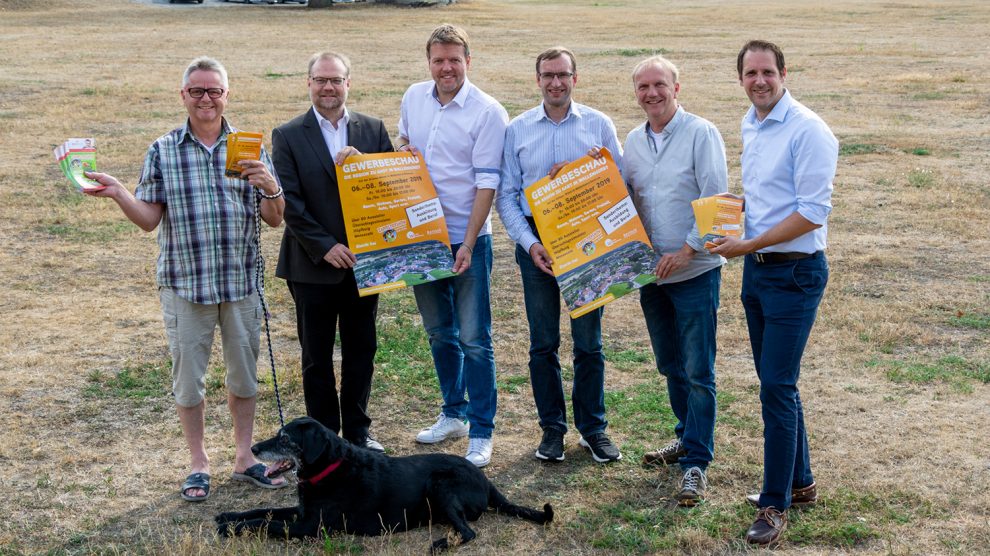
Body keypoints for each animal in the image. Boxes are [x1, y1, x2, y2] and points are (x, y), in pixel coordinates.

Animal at [214, 416, 556, 552]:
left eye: (285, 439)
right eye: (278, 433)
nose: (254, 448)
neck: (331, 466)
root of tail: (486, 481)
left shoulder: (309, 526)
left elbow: (264, 523)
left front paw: (233, 528)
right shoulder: (301, 511)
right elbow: (263, 511)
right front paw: (228, 517)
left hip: (441, 486)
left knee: (469, 532)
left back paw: (441, 544)